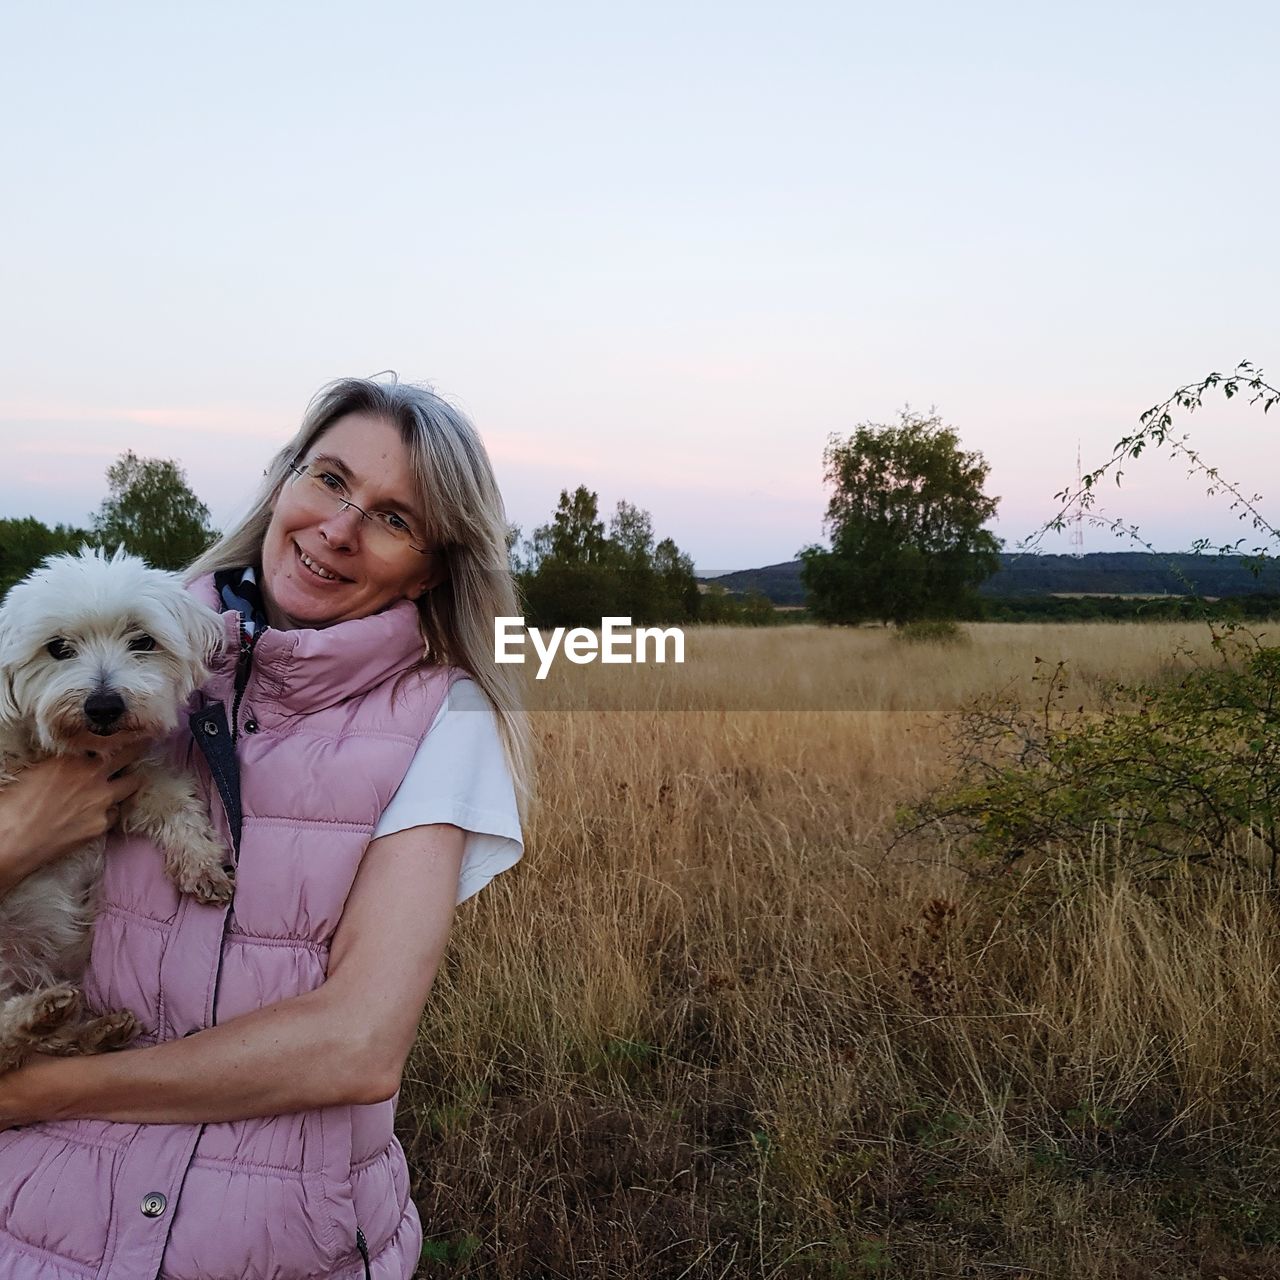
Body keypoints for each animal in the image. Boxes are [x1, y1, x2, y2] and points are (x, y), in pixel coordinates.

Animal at [0, 547, 230, 1070]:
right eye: (58, 648)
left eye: (142, 641)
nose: (103, 706)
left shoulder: (132, 780)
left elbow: (177, 805)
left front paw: (201, 865)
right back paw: (38, 1014)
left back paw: (84, 1026)